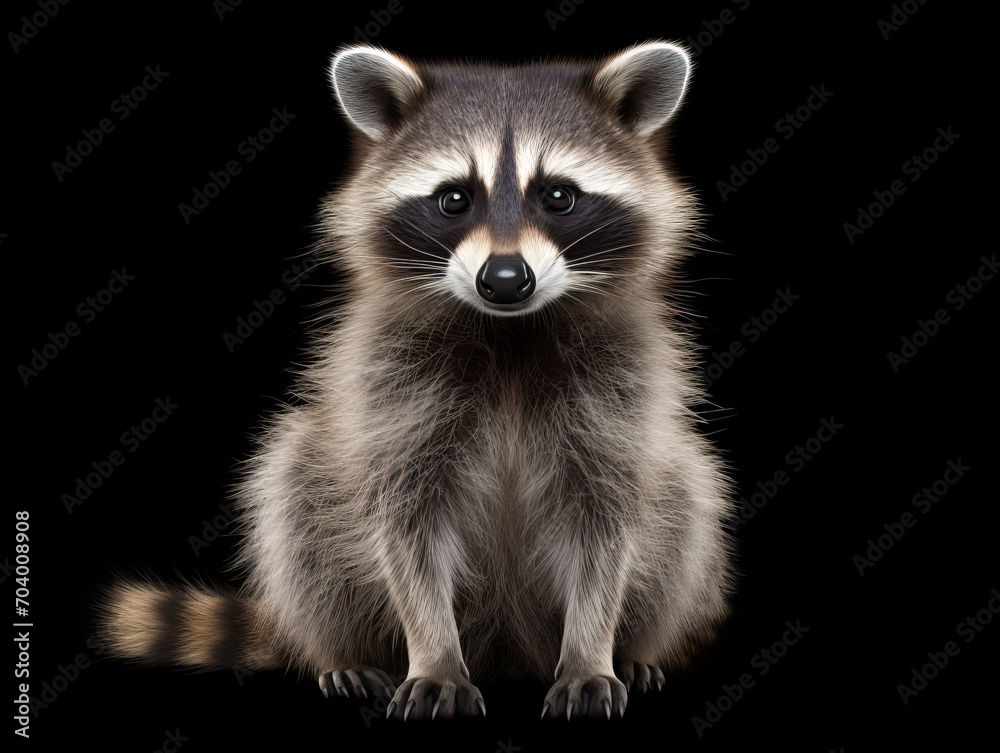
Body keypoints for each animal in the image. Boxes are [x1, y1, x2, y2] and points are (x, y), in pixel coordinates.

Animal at [101, 42, 736, 724]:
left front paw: (592, 653)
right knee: (294, 485)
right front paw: (433, 657)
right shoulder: (391, 387)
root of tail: (507, 650)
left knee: (688, 490)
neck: (508, 334)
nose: (505, 279)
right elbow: (406, 526)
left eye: (559, 196)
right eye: (454, 199)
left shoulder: (622, 391)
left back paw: (637, 647)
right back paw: (344, 649)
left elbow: (609, 523)